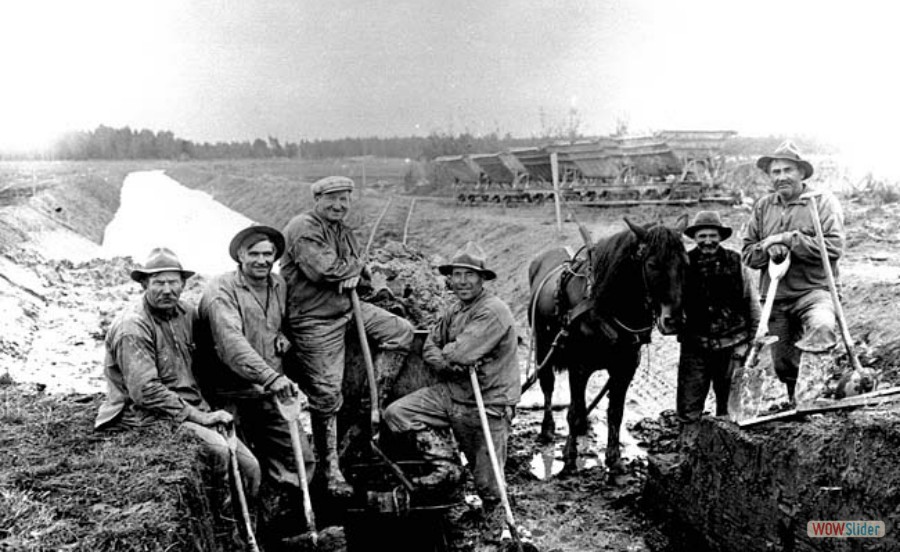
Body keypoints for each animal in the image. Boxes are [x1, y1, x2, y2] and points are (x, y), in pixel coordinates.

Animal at [528, 218, 688, 472]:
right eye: (652, 264)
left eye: (685, 264)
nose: (674, 321)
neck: (604, 306)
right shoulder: (578, 366)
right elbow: (572, 411)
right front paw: (570, 455)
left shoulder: (624, 368)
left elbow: (615, 412)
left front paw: (613, 457)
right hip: (543, 346)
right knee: (547, 385)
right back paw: (548, 428)